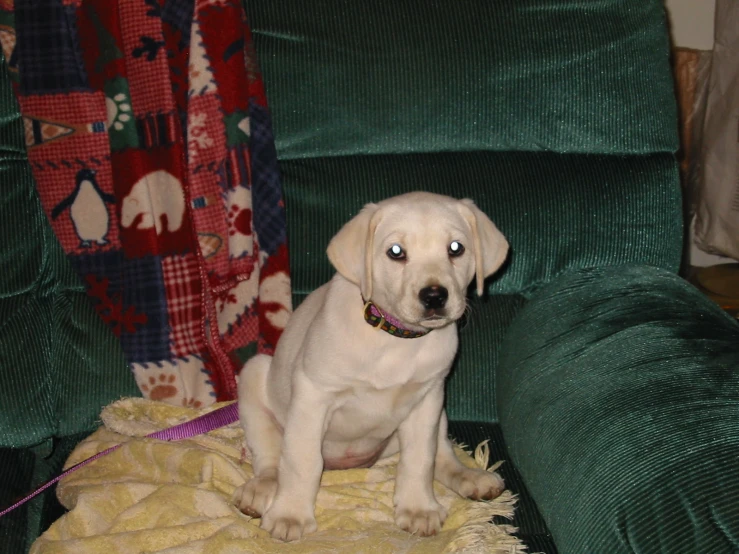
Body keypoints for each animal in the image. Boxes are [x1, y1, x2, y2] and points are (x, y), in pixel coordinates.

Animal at [236, 190, 508, 540]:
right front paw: (291, 514)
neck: (395, 337)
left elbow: (420, 459)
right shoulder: (313, 396)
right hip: (255, 377)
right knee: (271, 457)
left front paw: (418, 508)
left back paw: (471, 477)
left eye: (456, 248)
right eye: (396, 252)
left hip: (439, 414)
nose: (435, 296)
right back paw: (262, 489)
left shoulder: (427, 400)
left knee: (442, 454)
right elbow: (301, 460)